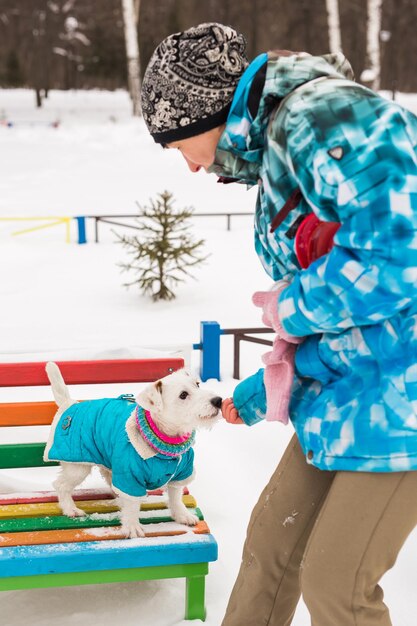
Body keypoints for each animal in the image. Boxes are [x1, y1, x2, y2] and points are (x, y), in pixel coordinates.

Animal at [44, 360, 223, 536]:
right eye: (183, 395)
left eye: (197, 384)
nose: (218, 400)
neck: (166, 443)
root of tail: (69, 405)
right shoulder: (129, 476)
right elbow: (131, 504)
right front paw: (132, 526)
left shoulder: (181, 473)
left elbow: (175, 496)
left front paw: (182, 515)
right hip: (77, 466)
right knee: (61, 485)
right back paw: (70, 509)